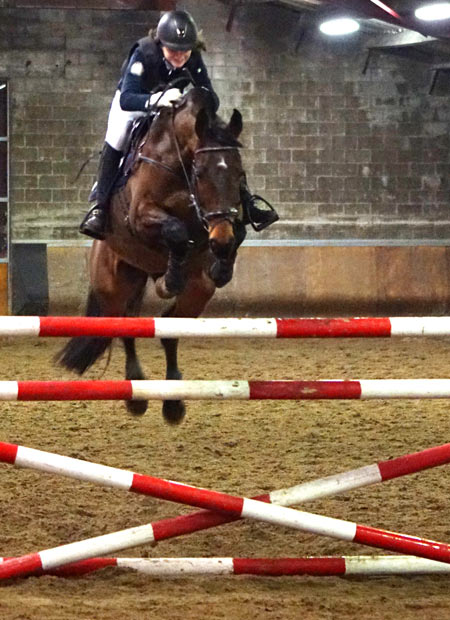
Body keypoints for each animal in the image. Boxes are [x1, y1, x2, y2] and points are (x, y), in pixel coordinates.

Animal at [56, 87, 247, 424]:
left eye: (239, 172)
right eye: (201, 172)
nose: (221, 242)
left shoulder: (217, 222)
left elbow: (228, 231)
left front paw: (221, 265)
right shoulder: (141, 216)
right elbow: (175, 231)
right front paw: (170, 280)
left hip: (197, 290)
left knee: (170, 328)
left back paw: (173, 402)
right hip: (114, 285)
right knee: (126, 328)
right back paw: (137, 394)